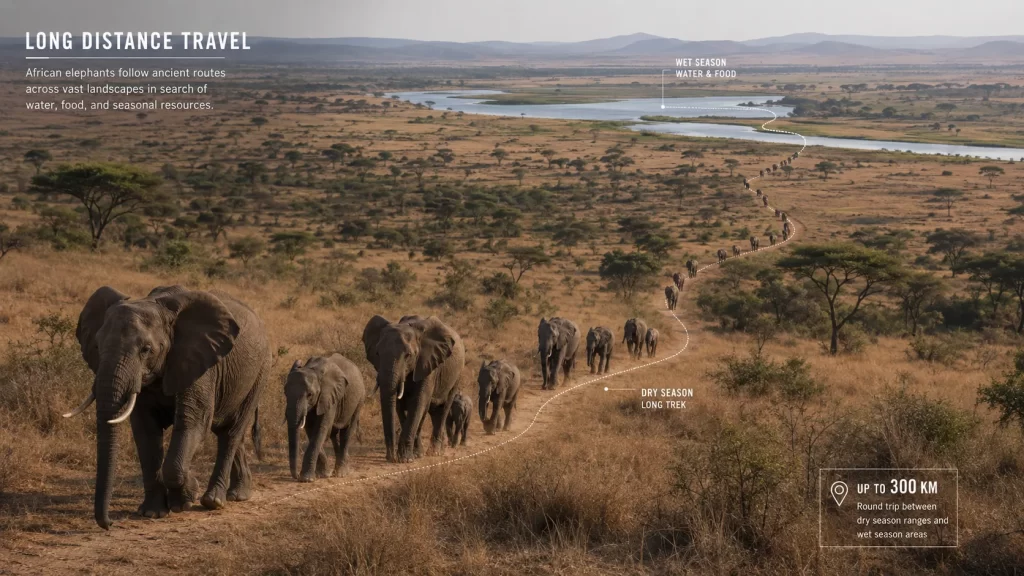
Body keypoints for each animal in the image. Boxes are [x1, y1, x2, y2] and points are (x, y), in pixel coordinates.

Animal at [65, 285, 271, 529]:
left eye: (146, 349)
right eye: (97, 346)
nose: (109, 524)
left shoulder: (197, 363)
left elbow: (193, 424)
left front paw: (186, 498)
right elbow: (145, 433)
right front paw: (152, 512)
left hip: (260, 372)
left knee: (231, 432)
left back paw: (214, 501)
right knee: (225, 431)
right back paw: (238, 495)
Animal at [285, 354, 364, 482]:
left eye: (310, 395)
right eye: (285, 393)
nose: (296, 476)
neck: (313, 370)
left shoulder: (329, 397)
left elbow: (321, 430)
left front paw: (306, 479)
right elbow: (312, 430)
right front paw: (322, 474)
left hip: (359, 400)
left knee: (346, 432)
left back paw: (341, 473)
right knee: (333, 434)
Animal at [362, 314, 465, 463]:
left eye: (408, 355)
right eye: (377, 353)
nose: (390, 457)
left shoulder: (427, 363)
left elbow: (417, 403)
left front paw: (405, 459)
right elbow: (400, 406)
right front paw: (414, 455)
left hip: (456, 375)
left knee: (443, 409)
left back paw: (435, 452)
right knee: (433, 411)